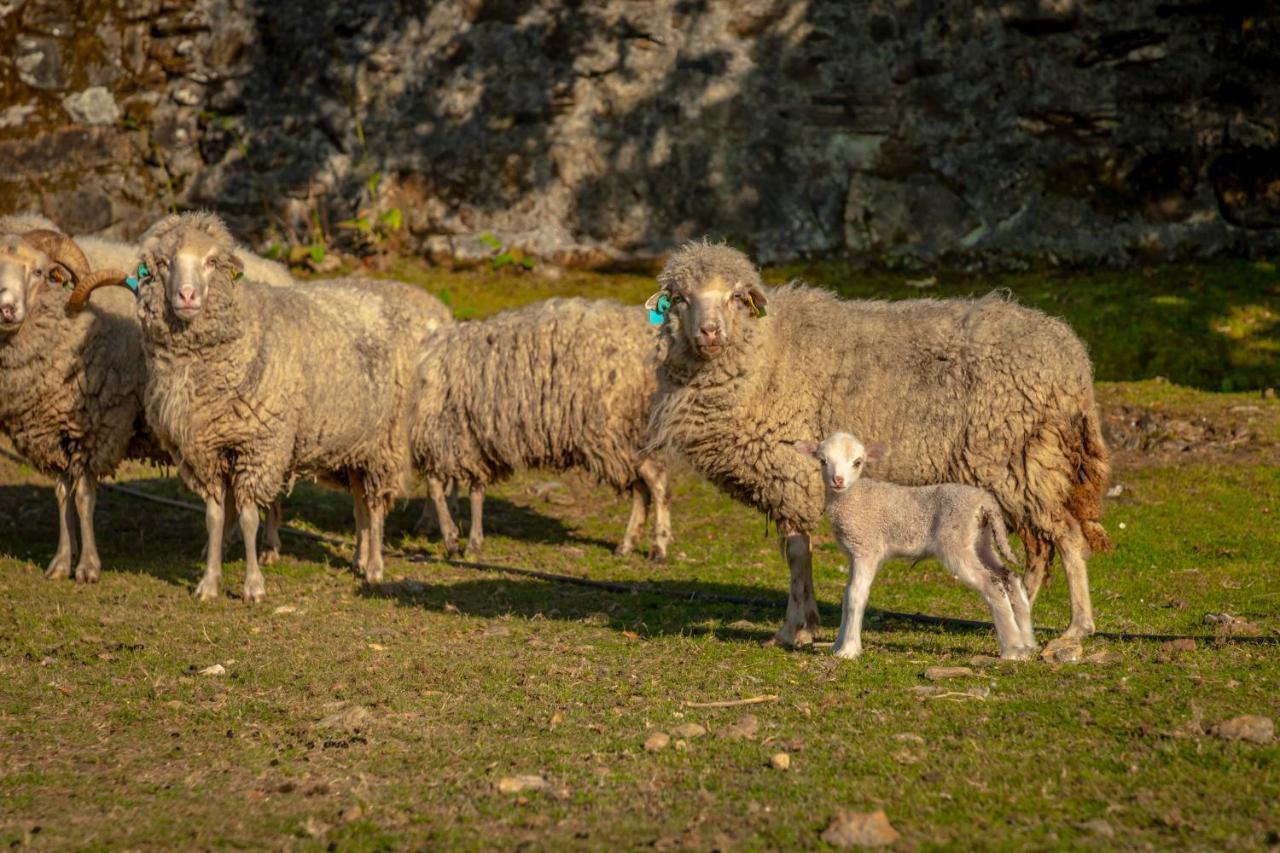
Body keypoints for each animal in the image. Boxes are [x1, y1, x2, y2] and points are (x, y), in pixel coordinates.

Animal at [0, 225, 157, 578]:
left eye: (39, 271)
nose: (6, 308)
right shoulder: (50, 434)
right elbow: (61, 495)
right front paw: (60, 562)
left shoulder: (95, 431)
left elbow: (84, 497)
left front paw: (88, 566)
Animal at [70, 210, 414, 601]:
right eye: (164, 263)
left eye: (211, 262)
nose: (186, 295)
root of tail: (370, 295)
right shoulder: (204, 451)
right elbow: (214, 517)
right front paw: (209, 582)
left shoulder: (258, 446)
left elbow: (249, 517)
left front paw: (253, 586)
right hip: (356, 443)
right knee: (360, 502)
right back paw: (359, 558)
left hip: (384, 442)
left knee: (376, 505)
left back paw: (374, 567)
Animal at [412, 297, 675, 558]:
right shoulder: (469, 442)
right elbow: (472, 490)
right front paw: (468, 539)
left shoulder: (443, 437)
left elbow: (437, 487)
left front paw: (452, 538)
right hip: (629, 435)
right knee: (642, 487)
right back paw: (628, 544)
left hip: (615, 431)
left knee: (657, 480)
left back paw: (659, 546)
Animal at [788, 432, 1039, 655]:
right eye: (823, 461)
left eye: (858, 462)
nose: (837, 480)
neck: (852, 497)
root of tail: (985, 502)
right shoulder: (854, 552)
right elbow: (846, 594)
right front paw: (837, 645)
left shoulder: (867, 548)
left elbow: (855, 595)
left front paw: (848, 650)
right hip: (981, 541)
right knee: (1011, 578)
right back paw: (1027, 643)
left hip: (955, 543)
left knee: (993, 585)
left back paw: (1012, 649)